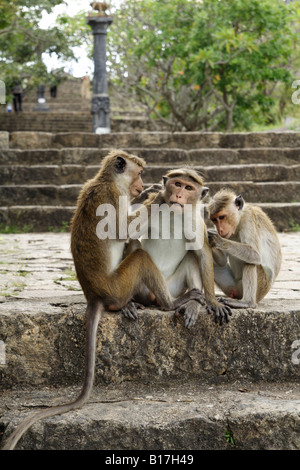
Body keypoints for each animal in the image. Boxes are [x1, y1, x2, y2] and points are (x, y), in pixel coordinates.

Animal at [1, 151, 204, 452]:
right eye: (139, 172)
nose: (141, 184)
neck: (109, 181)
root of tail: (94, 296)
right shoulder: (112, 197)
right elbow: (121, 231)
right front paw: (156, 198)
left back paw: (133, 304)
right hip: (118, 285)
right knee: (140, 257)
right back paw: (171, 303)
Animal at [124, 168, 232, 326]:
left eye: (188, 188)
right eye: (178, 184)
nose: (179, 195)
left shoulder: (196, 221)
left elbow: (203, 254)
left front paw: (213, 301)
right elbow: (124, 232)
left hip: (174, 288)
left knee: (192, 256)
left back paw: (191, 303)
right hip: (142, 288)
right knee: (134, 244)